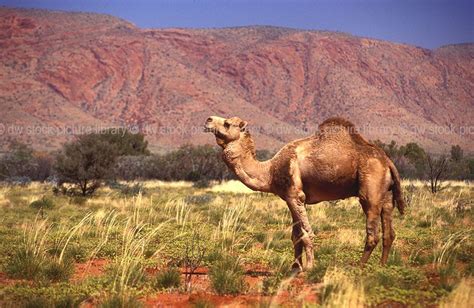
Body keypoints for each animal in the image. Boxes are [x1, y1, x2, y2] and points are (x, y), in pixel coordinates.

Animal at [204, 116, 404, 272]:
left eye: (227, 123)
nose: (208, 120)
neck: (270, 171)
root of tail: (387, 162)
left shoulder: (295, 195)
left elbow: (307, 233)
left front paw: (308, 267)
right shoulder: (289, 198)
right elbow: (296, 235)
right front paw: (294, 266)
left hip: (370, 187)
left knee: (372, 231)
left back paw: (358, 267)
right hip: (386, 193)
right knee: (389, 231)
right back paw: (382, 266)